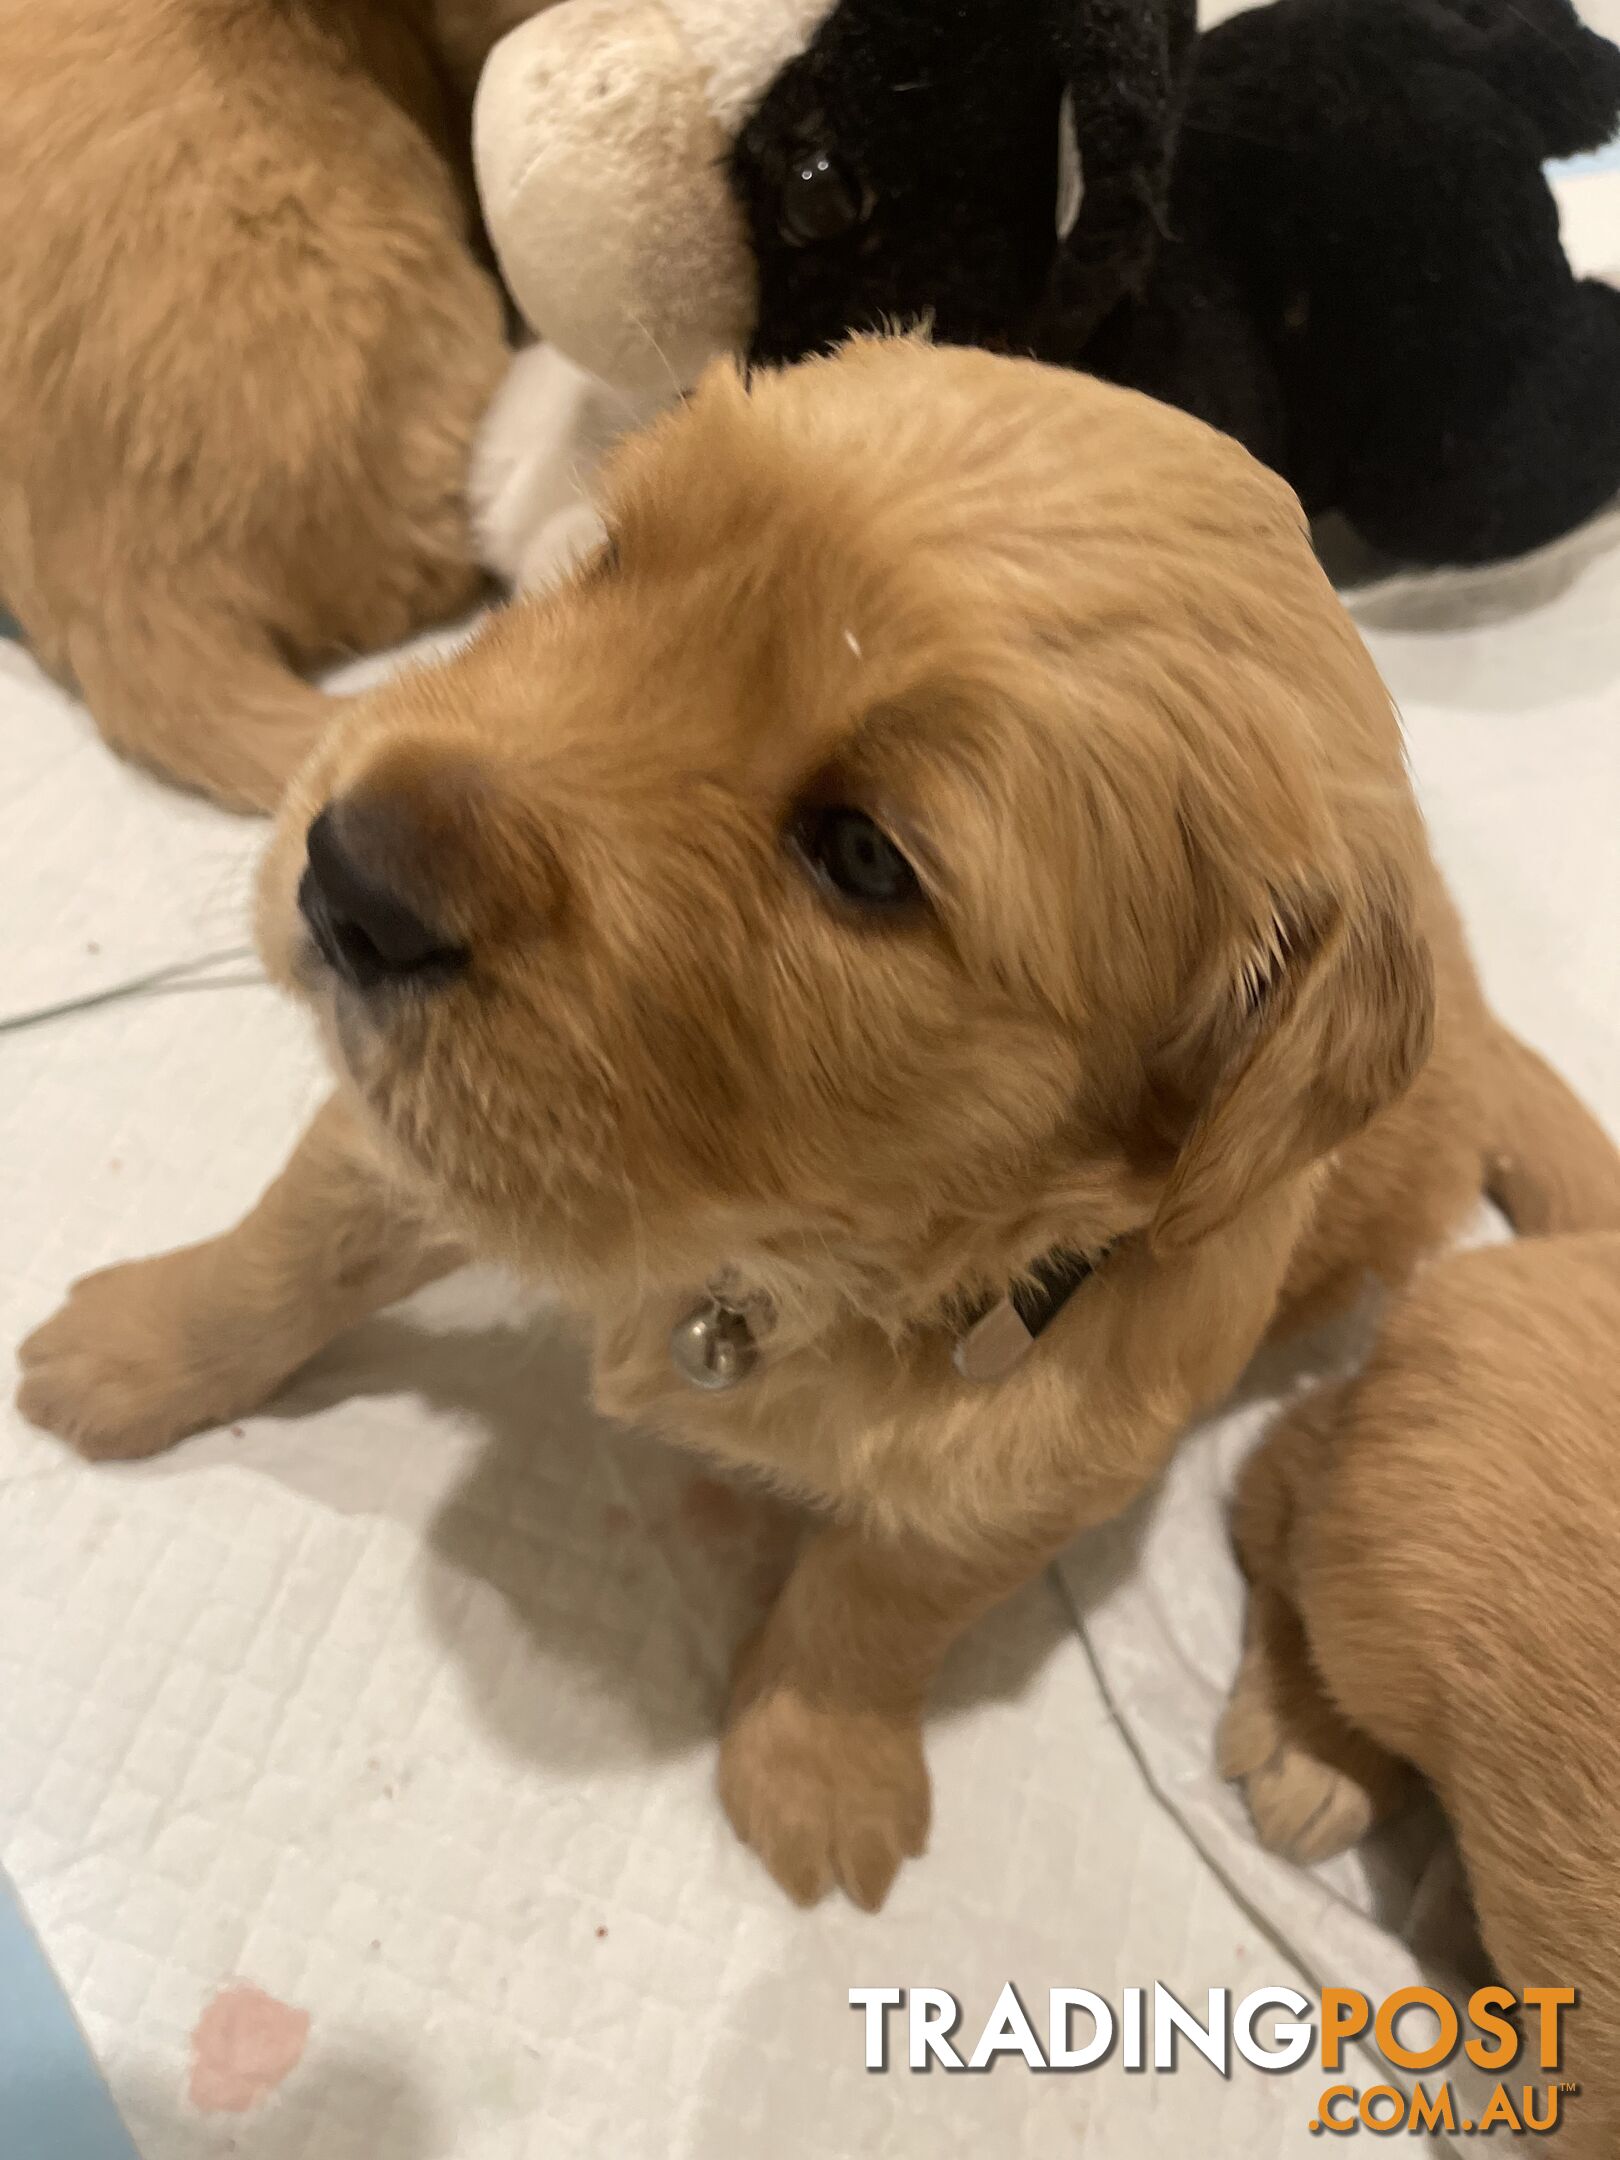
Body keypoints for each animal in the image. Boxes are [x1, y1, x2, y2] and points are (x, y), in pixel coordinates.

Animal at [15, 336, 1620, 1909]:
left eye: (862, 857)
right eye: (608, 559)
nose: (347, 877)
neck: (783, 1249)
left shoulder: (1030, 1475)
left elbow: (877, 1603)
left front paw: (816, 1769)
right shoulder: (422, 1133)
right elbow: (288, 1250)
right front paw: (125, 1351)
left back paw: (1316, 1746)